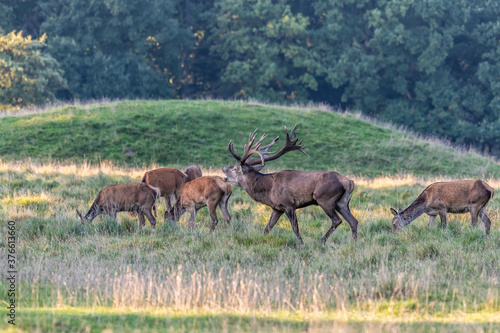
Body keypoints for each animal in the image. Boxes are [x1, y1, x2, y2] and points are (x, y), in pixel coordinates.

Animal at [221, 124, 358, 244]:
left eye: (235, 168)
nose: (223, 168)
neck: (268, 191)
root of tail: (348, 181)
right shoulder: (277, 208)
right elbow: (267, 228)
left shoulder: (288, 204)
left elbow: (295, 228)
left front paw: (301, 244)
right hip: (342, 202)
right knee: (353, 221)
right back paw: (354, 243)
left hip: (325, 199)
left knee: (337, 220)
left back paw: (322, 241)